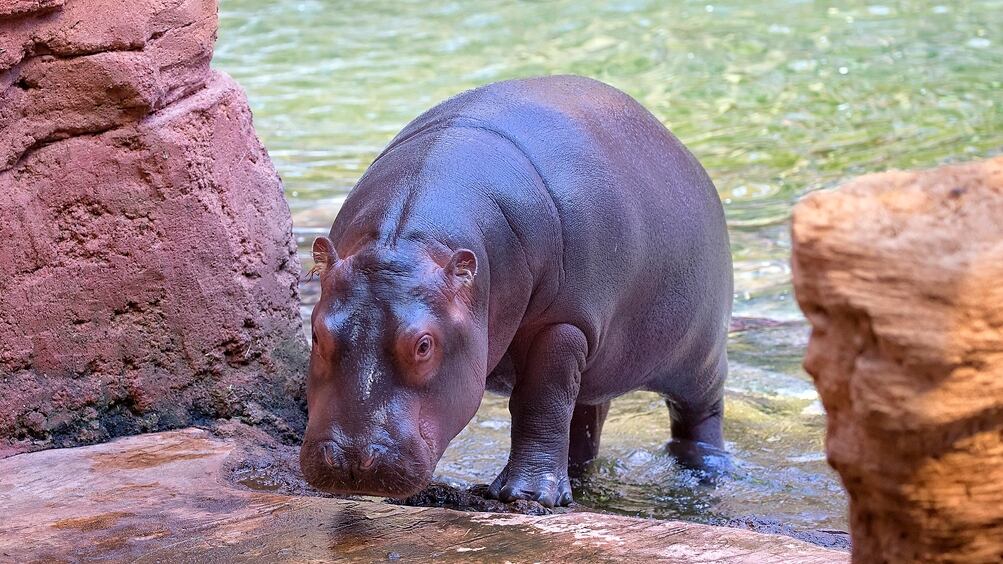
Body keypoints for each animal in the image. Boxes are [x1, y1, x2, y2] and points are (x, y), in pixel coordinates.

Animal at [300, 75, 732, 507]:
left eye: (424, 345)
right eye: (317, 334)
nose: (352, 460)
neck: (411, 242)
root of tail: (685, 154)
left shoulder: (565, 324)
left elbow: (540, 402)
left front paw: (528, 495)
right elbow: (554, 408)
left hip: (700, 357)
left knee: (698, 416)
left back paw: (708, 473)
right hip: (600, 360)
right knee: (584, 419)